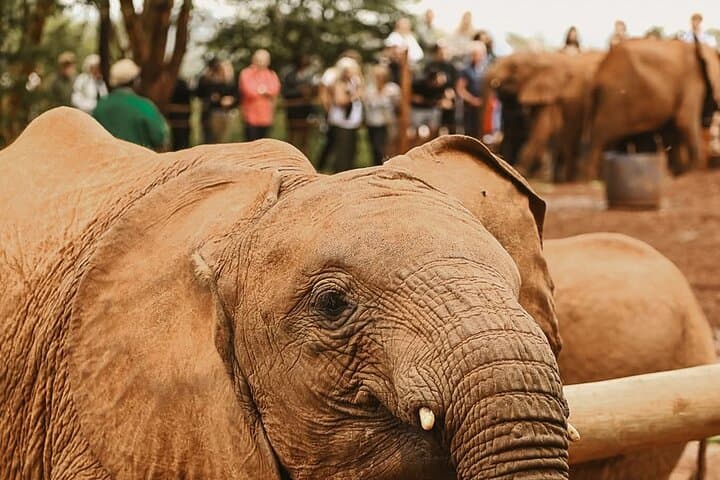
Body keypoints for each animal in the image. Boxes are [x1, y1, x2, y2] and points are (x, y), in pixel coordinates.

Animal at [583, 38, 720, 179]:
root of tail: (598, 74)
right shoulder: (692, 82)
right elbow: (684, 122)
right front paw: (688, 173)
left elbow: (672, 130)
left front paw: (676, 174)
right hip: (614, 98)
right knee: (600, 137)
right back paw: (591, 178)